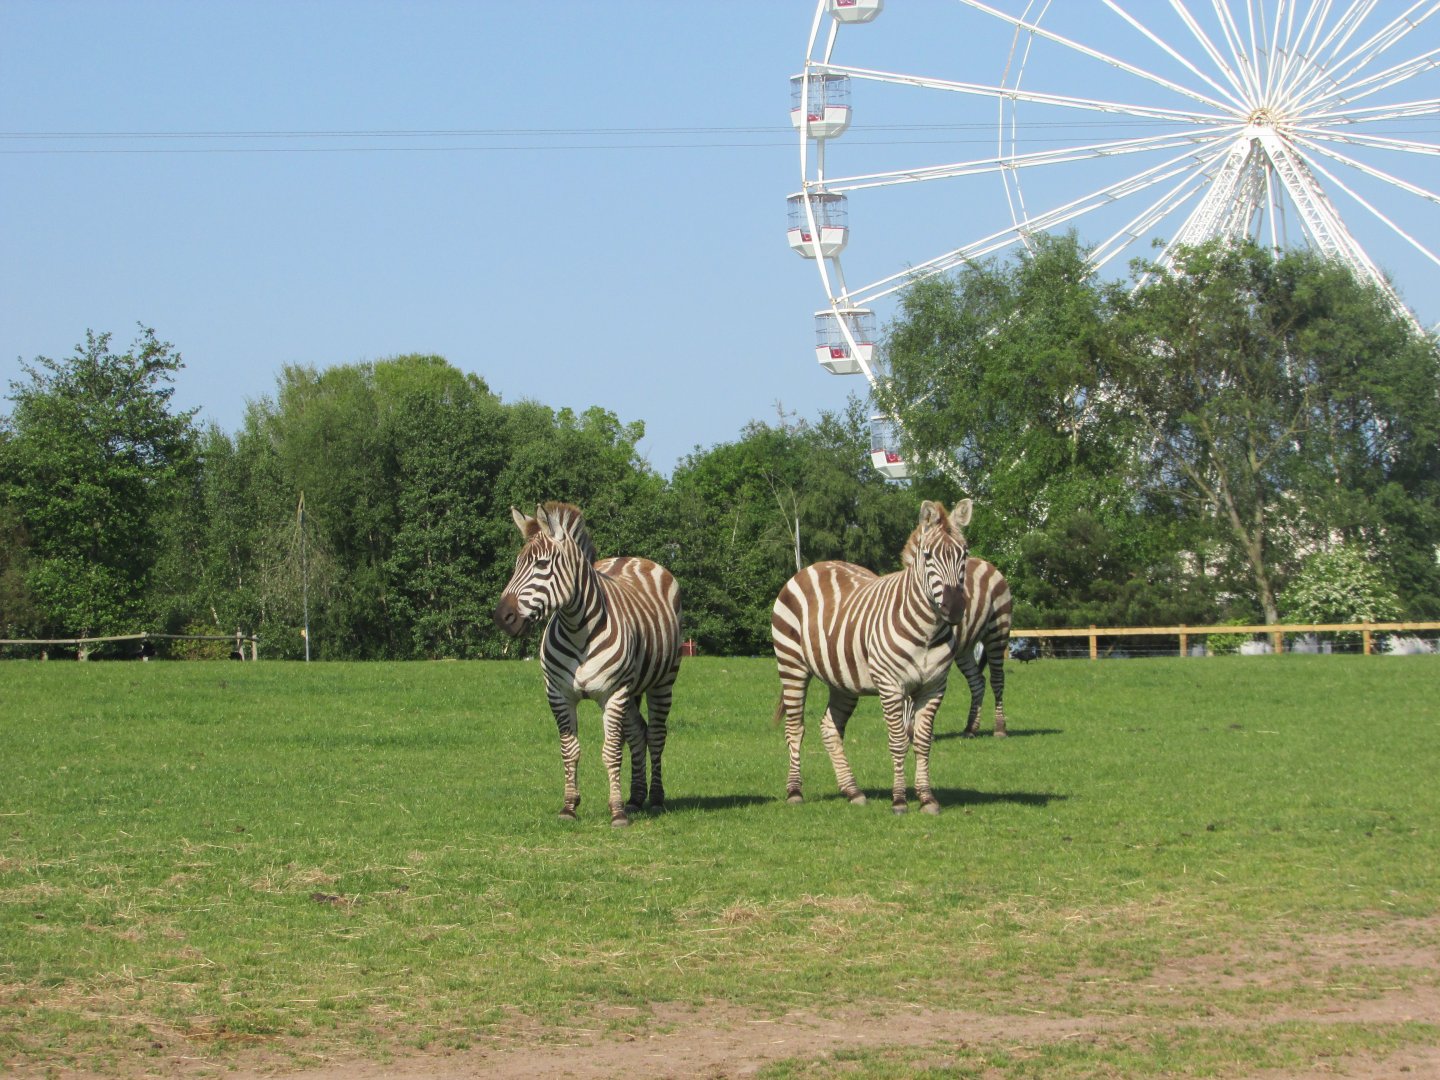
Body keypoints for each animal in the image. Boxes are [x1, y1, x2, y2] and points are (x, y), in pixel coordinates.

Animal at [493, 502, 681, 827]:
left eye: (542, 565)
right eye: (516, 565)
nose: (503, 617)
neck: (577, 629)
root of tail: (631, 558)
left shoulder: (613, 694)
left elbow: (611, 752)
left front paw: (616, 811)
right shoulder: (559, 695)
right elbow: (570, 750)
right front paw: (569, 806)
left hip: (662, 681)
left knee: (656, 734)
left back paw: (655, 798)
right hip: (632, 689)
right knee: (638, 733)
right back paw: (636, 798)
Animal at [771, 499, 972, 815]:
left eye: (965, 554)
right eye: (928, 556)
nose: (953, 609)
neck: (927, 632)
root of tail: (814, 566)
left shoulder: (934, 687)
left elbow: (923, 742)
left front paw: (927, 798)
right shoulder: (891, 686)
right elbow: (899, 741)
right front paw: (899, 800)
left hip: (842, 679)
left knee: (830, 728)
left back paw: (852, 791)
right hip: (792, 665)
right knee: (795, 729)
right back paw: (794, 792)